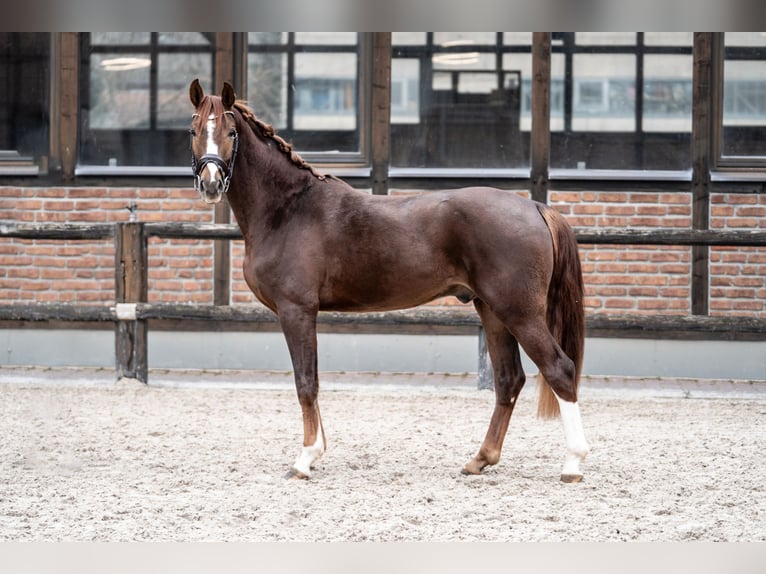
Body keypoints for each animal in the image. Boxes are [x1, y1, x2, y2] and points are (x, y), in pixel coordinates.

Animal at [189, 80, 592, 486]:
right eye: (194, 130)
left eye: (231, 132)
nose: (210, 184)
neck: (289, 209)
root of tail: (536, 208)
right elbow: (312, 382)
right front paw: (317, 451)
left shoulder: (297, 311)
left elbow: (306, 382)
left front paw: (304, 459)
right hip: (492, 311)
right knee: (509, 380)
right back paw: (479, 459)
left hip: (520, 312)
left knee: (559, 369)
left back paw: (573, 463)